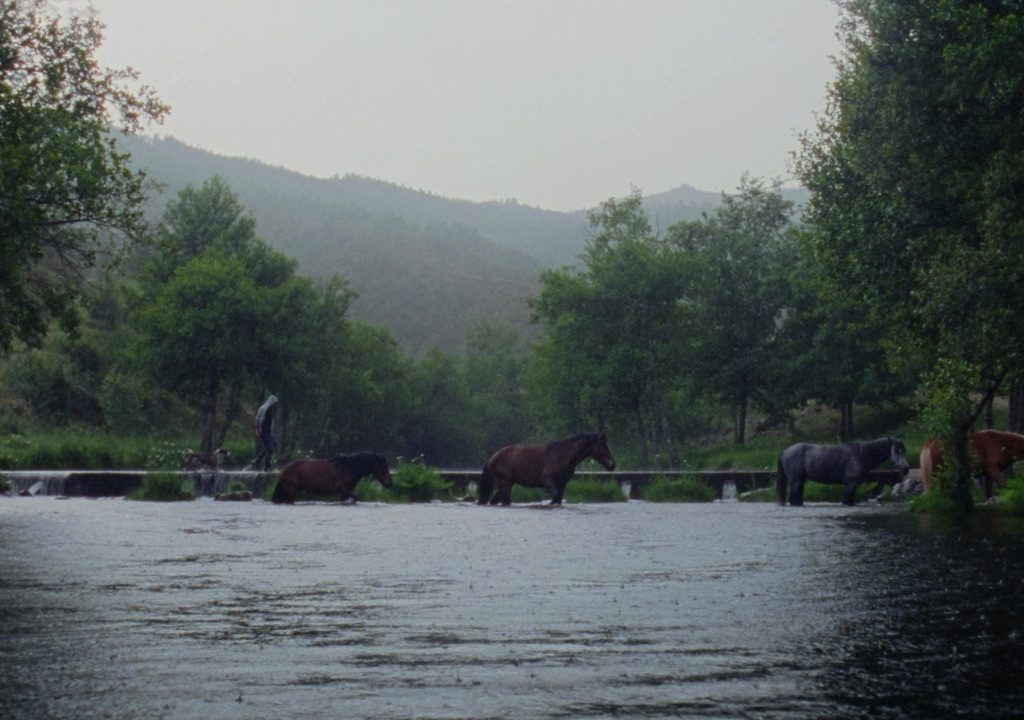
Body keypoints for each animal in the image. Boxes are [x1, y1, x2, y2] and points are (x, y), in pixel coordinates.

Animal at [475, 434, 610, 507]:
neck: (562, 455)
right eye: (602, 445)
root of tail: (493, 457)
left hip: (507, 483)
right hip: (505, 483)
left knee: (494, 500)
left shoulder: (562, 484)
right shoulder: (548, 481)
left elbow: (558, 498)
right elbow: (555, 497)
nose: (612, 464)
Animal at [774, 434, 913, 507]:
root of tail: (785, 450)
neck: (861, 454)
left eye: (904, 451)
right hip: (795, 481)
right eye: (897, 451)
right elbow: (846, 501)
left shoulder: (853, 486)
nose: (906, 468)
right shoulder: (850, 485)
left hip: (800, 481)